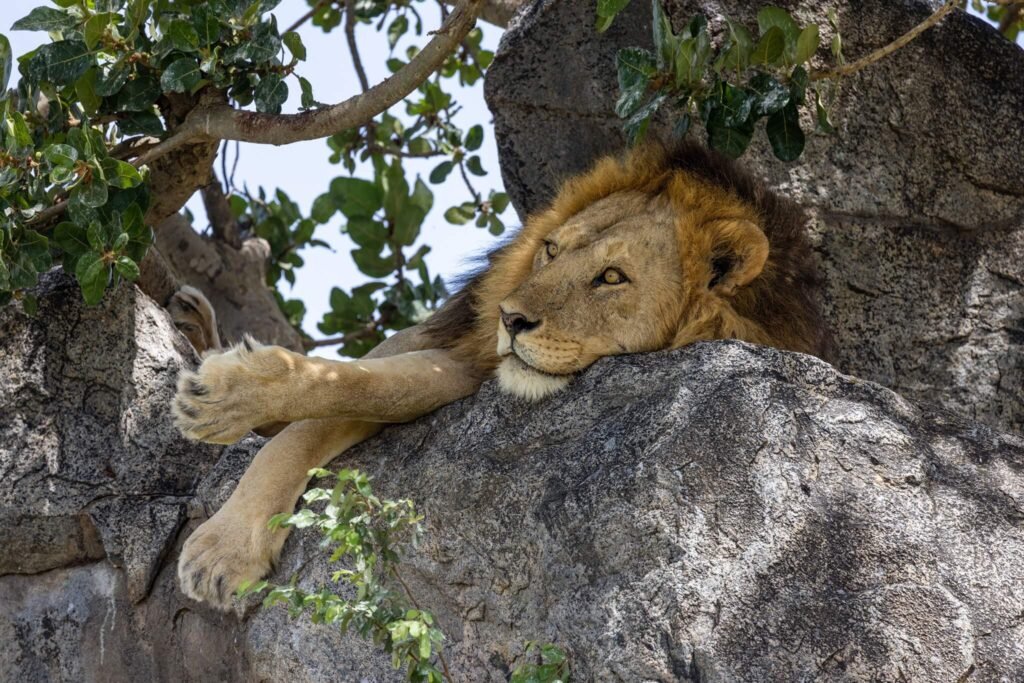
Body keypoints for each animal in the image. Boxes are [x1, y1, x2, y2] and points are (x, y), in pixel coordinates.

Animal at [171, 141, 831, 609]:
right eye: (551, 251)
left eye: (612, 277)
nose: (510, 319)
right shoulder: (461, 349)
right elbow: (328, 402)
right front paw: (225, 530)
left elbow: (364, 391)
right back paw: (195, 327)